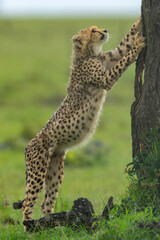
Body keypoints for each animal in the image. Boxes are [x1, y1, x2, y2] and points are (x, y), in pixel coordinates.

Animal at [13, 17, 146, 225]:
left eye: (98, 28)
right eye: (93, 31)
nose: (105, 30)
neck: (87, 54)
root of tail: (29, 144)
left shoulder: (112, 55)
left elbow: (126, 41)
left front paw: (139, 22)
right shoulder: (106, 78)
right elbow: (125, 59)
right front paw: (139, 45)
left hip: (55, 169)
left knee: (46, 202)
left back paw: (50, 225)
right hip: (38, 169)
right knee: (28, 202)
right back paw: (30, 228)